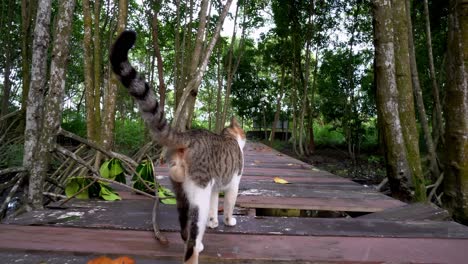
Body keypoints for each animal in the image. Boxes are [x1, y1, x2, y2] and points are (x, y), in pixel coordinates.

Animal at [109, 30, 245, 264]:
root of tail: (187, 136)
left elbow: (213, 209)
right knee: (193, 232)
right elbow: (228, 206)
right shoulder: (232, 183)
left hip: (180, 189)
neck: (229, 137)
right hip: (198, 191)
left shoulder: (214, 188)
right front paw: (228, 221)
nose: (246, 137)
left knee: (185, 226)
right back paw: (195, 251)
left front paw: (213, 222)